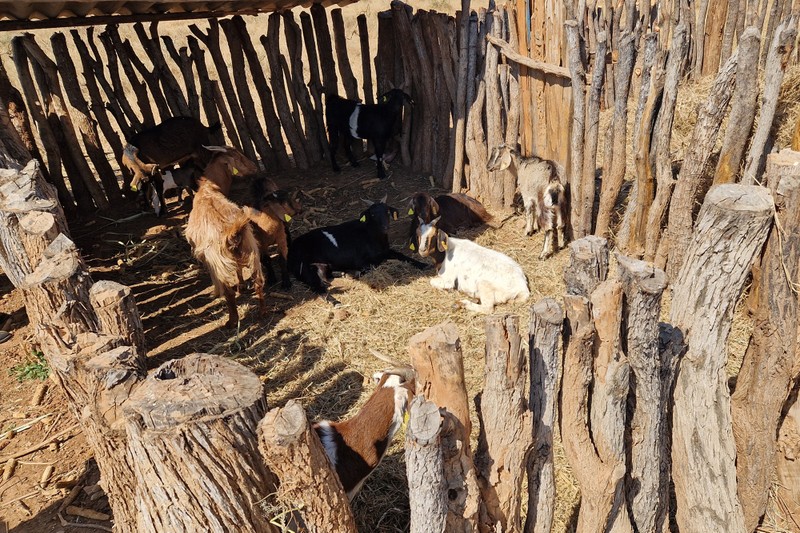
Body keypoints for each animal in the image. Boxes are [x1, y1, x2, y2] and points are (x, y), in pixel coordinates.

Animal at [185, 177, 266, 328]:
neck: (206, 193)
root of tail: (232, 233)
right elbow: (239, 270)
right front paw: (241, 285)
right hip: (252, 254)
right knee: (258, 282)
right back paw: (262, 312)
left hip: (218, 267)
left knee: (229, 293)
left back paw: (232, 321)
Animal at [288, 196, 427, 293]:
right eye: (372, 214)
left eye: (387, 211)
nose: (385, 227)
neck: (371, 234)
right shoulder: (361, 261)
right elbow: (372, 265)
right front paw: (356, 273)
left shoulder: (386, 250)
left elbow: (402, 255)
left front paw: (423, 264)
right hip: (305, 268)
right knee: (320, 285)